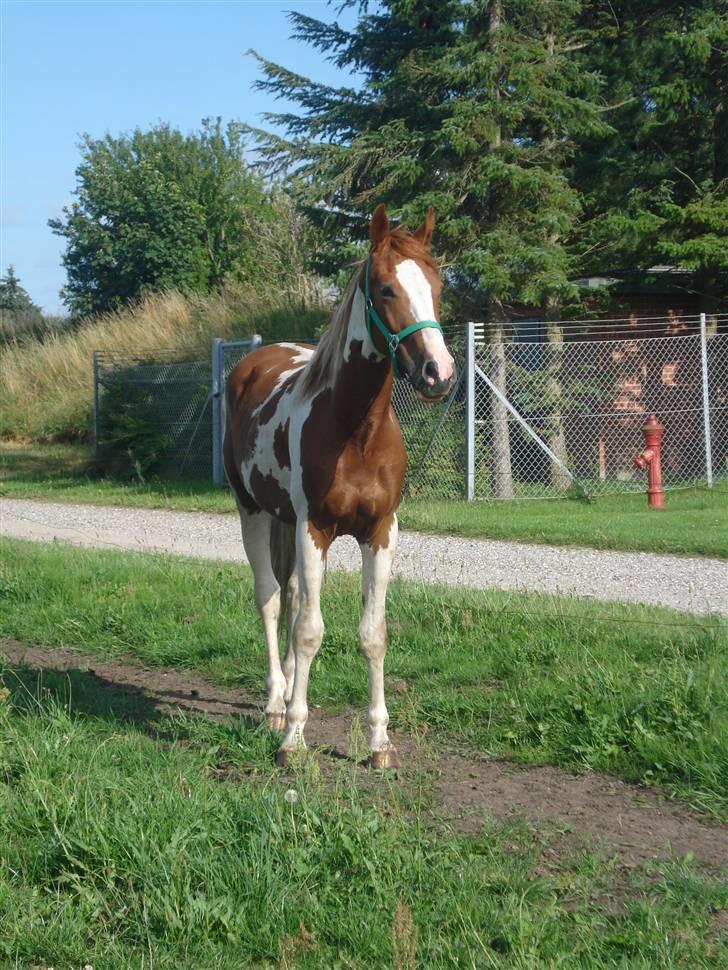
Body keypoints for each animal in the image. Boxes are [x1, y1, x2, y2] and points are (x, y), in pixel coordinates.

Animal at [225, 204, 456, 764]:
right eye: (386, 289)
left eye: (437, 285)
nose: (439, 373)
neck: (356, 431)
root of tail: (254, 362)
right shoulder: (316, 528)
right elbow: (310, 630)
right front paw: (293, 739)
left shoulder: (381, 532)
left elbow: (372, 633)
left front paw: (379, 741)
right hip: (252, 511)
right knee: (270, 599)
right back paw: (275, 704)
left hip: (285, 521)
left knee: (289, 596)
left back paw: (288, 692)